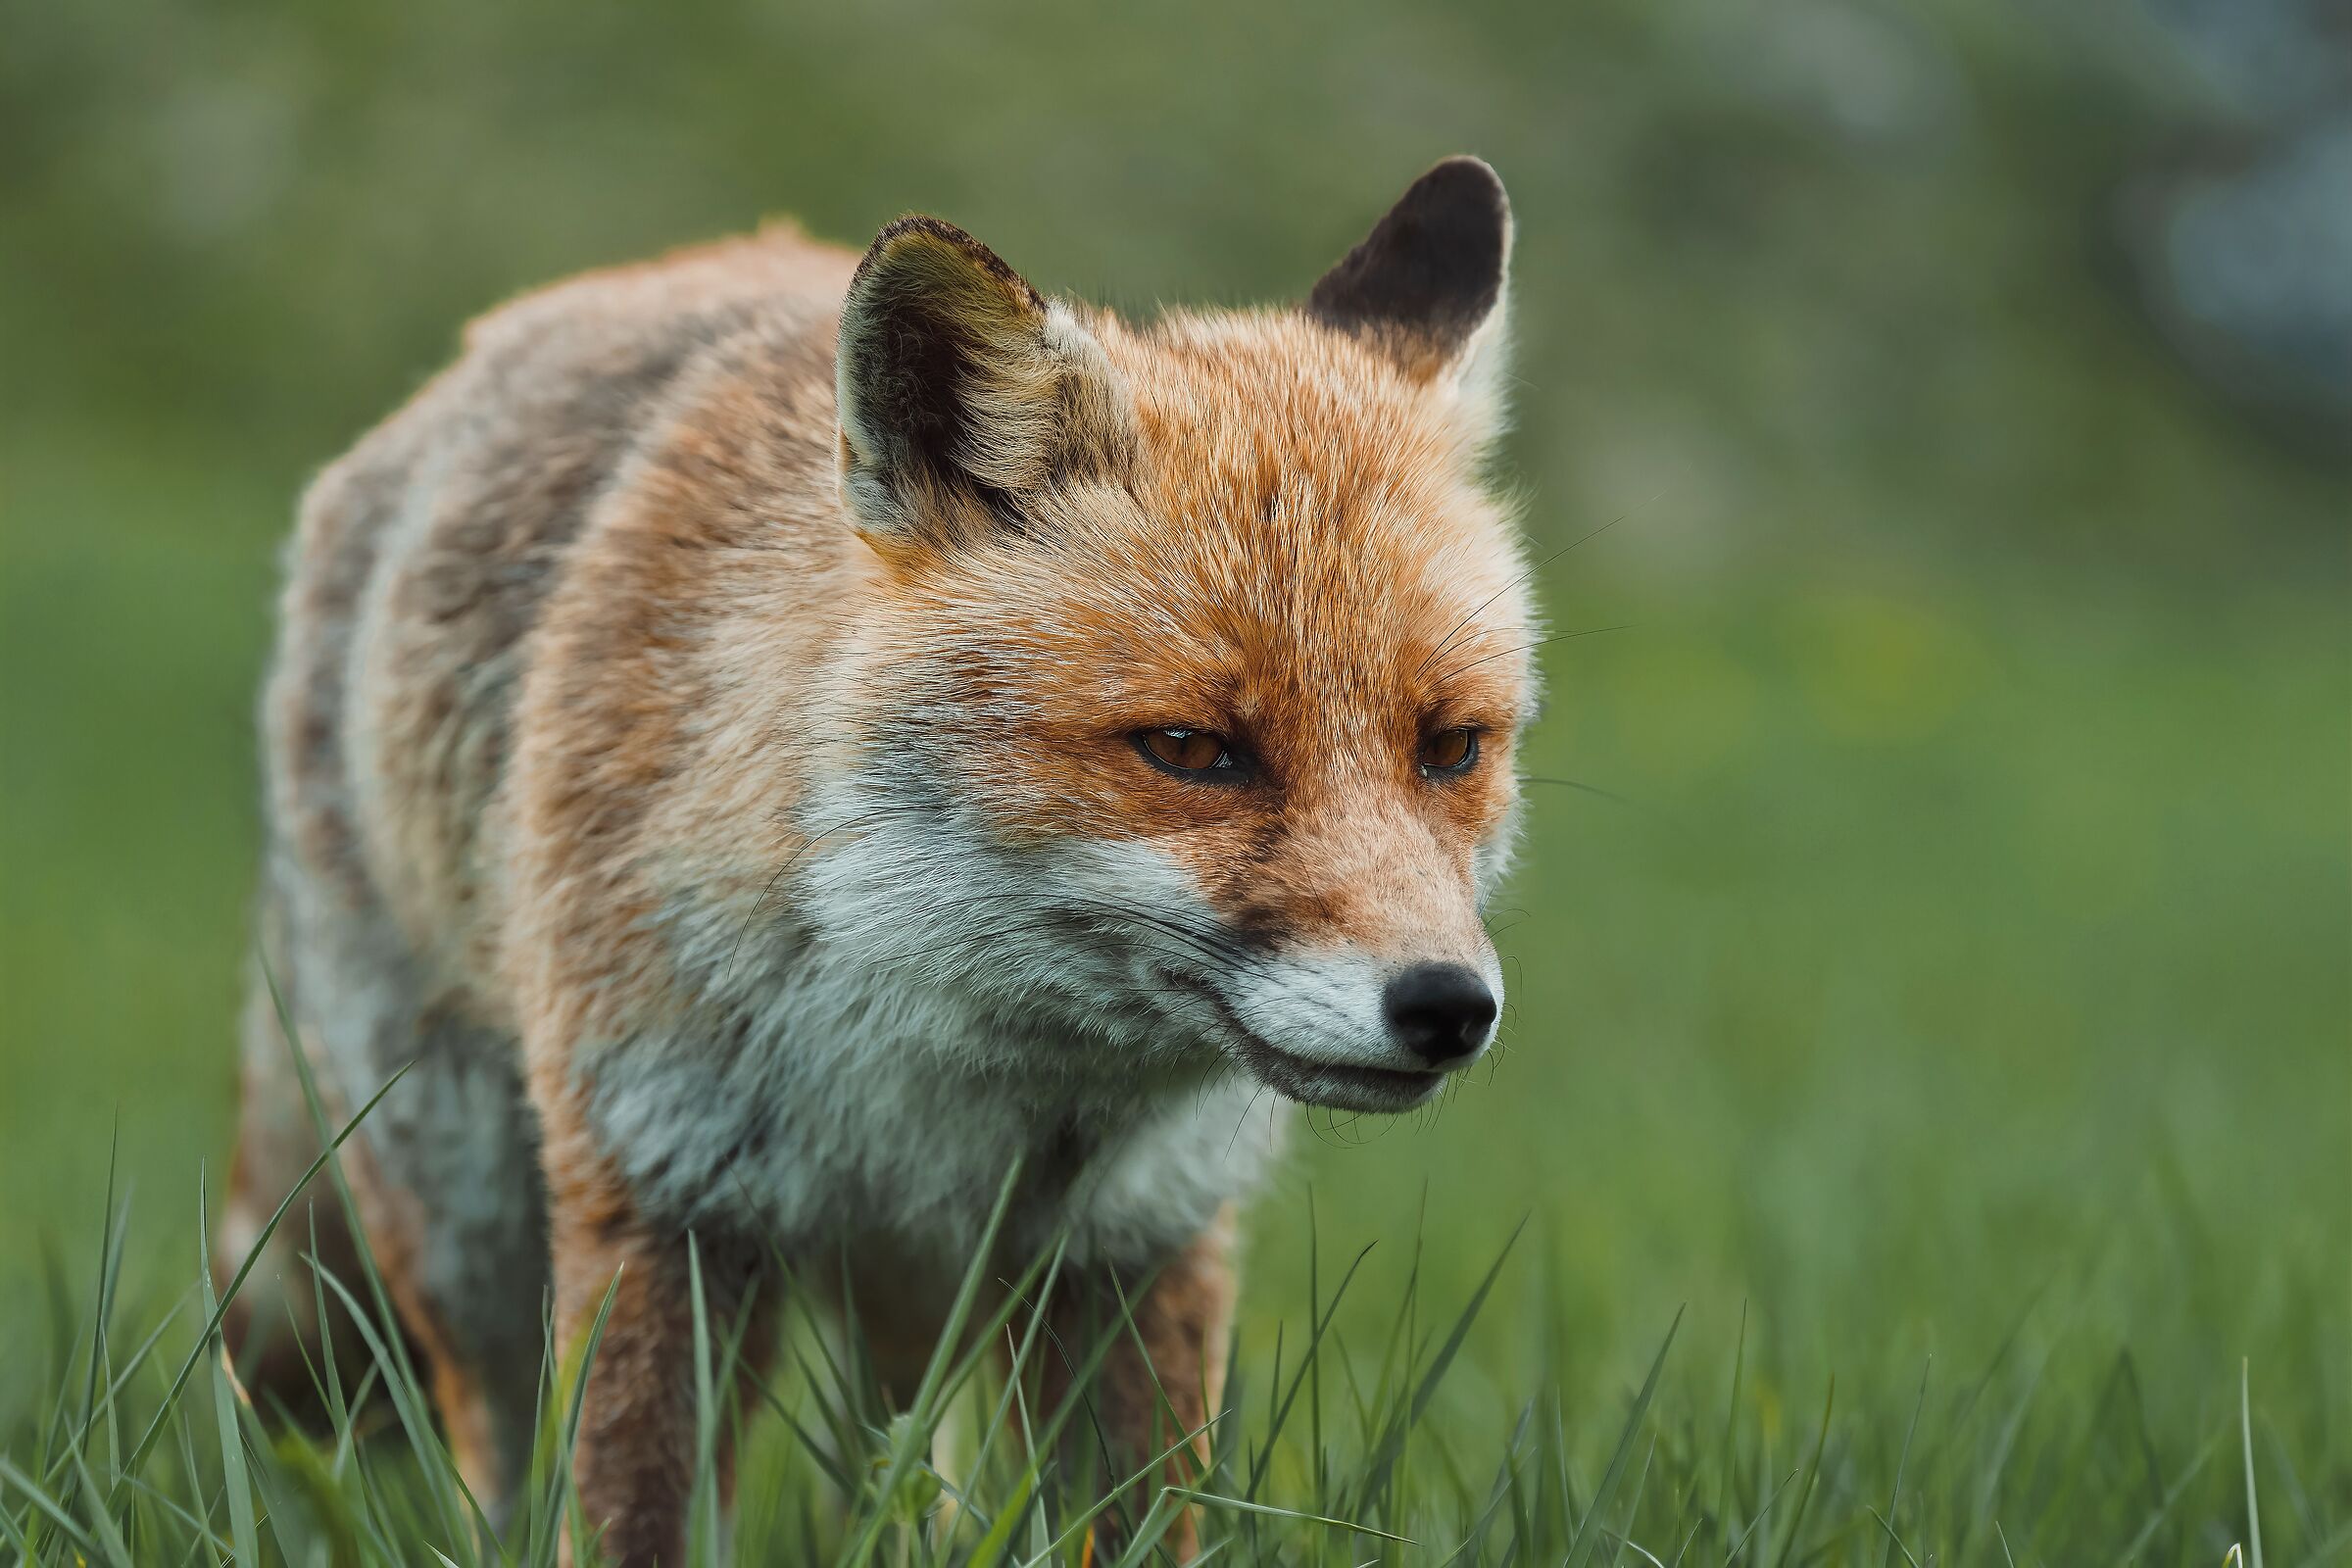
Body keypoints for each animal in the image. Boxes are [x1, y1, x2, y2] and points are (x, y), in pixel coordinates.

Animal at [215, 155, 1536, 1563]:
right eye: (1192, 749)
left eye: (1451, 748)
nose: (1446, 1006)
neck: (941, 1048)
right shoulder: (663, 1197)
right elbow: (632, 1516)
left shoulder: (1135, 1242)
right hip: (468, 1212)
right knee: (503, 1452)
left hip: (908, 1305)